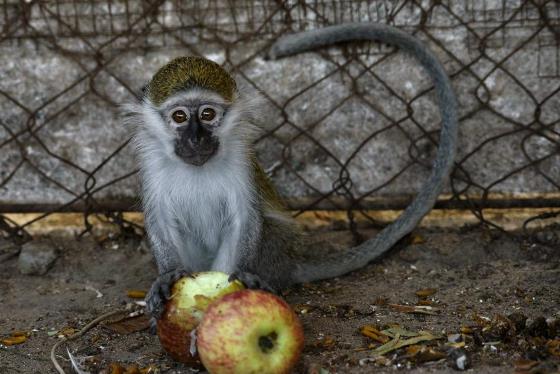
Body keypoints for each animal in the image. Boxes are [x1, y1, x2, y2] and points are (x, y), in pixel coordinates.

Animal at [128, 22, 460, 318]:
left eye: (208, 114)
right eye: (180, 116)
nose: (196, 138)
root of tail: (291, 262)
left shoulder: (241, 159)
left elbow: (244, 219)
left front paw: (239, 281)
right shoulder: (151, 165)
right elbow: (160, 220)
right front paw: (167, 276)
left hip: (276, 248)